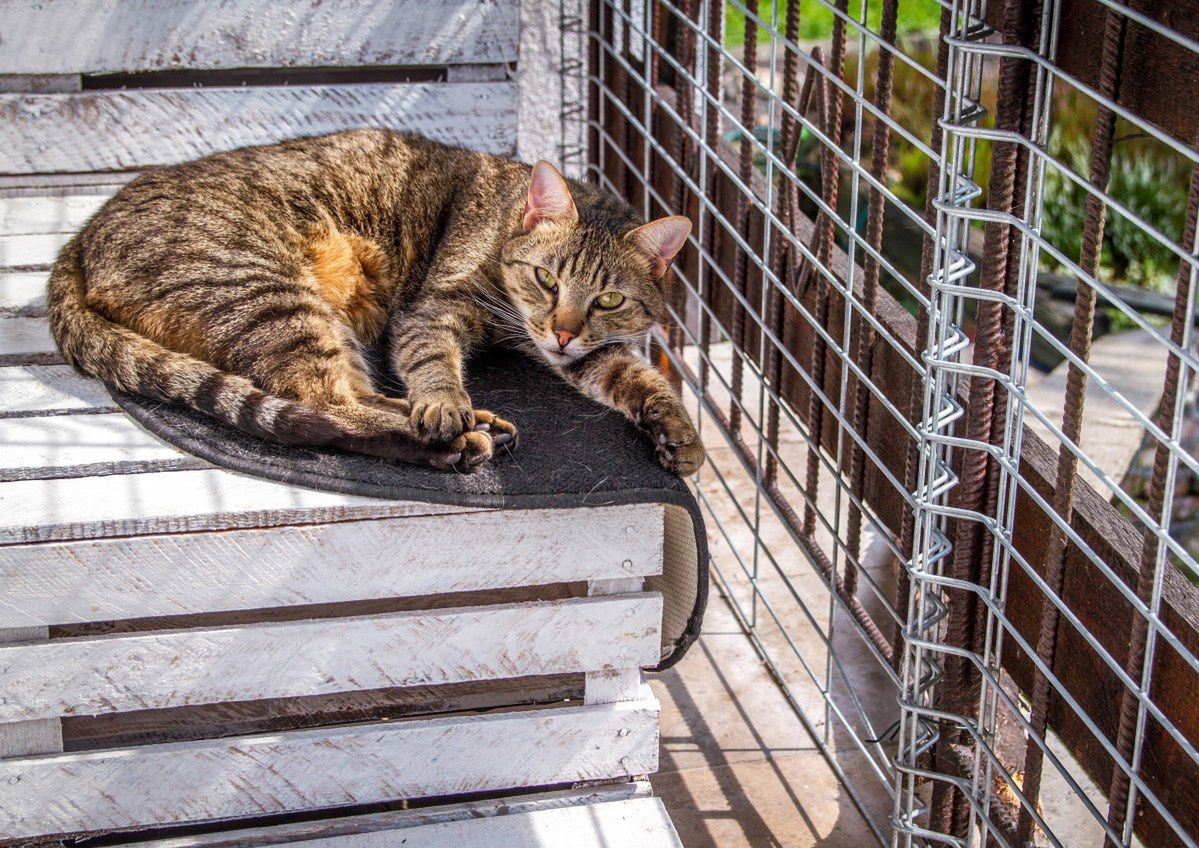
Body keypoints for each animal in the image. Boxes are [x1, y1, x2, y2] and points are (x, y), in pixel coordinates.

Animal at [49, 133, 700, 477]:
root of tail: (78, 240)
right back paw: (456, 437)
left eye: (608, 300)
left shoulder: (582, 350)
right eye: (545, 279)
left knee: (349, 397)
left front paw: (678, 433)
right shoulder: (432, 309)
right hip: (273, 296)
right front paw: (444, 403)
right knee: (324, 407)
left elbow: (639, 378)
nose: (562, 332)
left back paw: (476, 425)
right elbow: (433, 363)